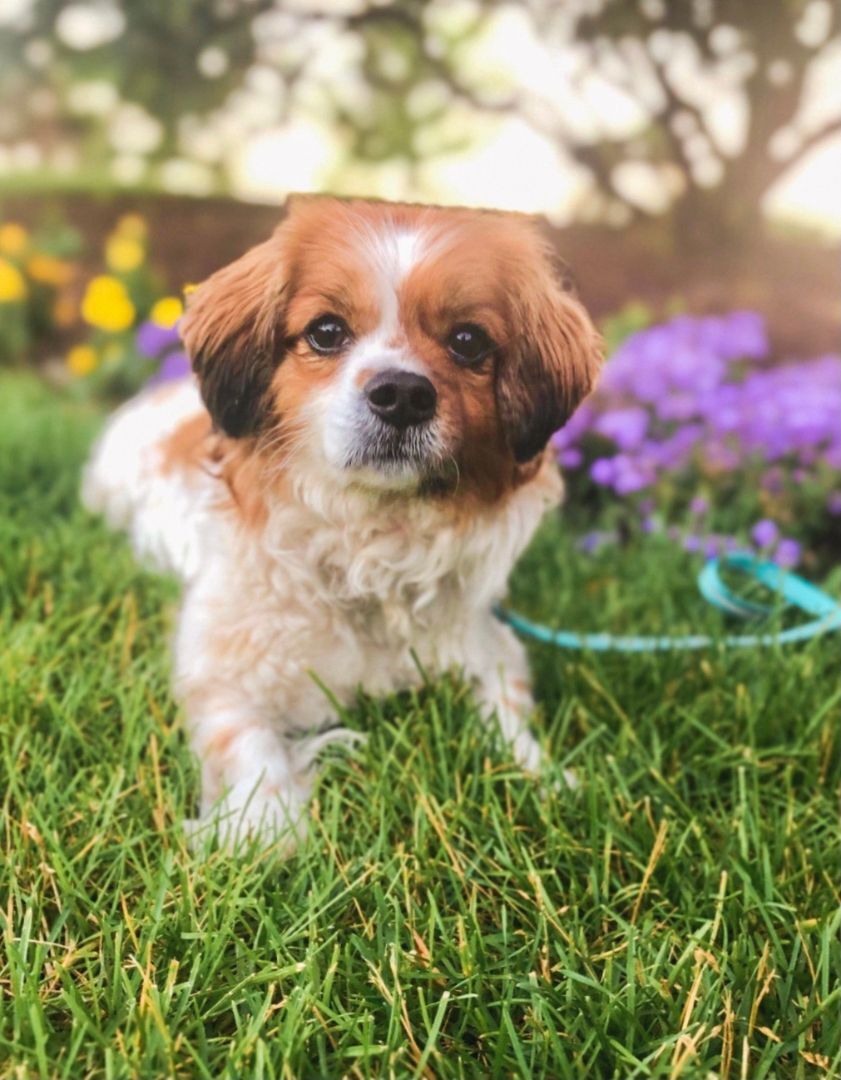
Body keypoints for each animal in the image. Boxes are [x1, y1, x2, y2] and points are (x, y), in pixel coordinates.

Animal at [82, 198, 600, 846]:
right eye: (326, 332)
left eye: (468, 341)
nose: (402, 393)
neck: (370, 547)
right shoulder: (221, 673)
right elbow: (252, 757)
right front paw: (261, 828)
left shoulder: (490, 645)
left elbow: (508, 719)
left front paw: (545, 778)